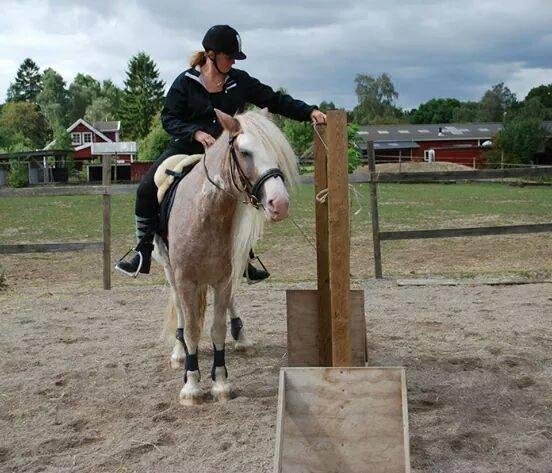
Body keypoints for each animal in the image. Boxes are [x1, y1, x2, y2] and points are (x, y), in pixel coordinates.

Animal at [153, 109, 298, 404]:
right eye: (245, 152)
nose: (279, 204)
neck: (205, 214)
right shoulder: (186, 280)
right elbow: (193, 330)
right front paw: (191, 385)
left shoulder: (222, 279)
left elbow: (217, 328)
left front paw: (220, 382)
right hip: (169, 270)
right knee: (180, 311)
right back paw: (178, 352)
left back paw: (241, 338)